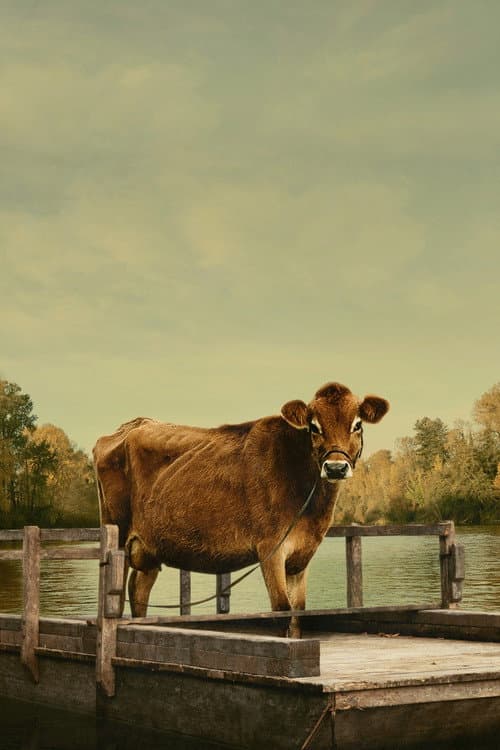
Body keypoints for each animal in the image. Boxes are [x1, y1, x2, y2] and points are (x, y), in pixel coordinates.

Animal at [93, 382, 389, 636]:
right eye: (314, 427)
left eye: (357, 424)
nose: (336, 467)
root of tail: (132, 425)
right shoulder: (271, 548)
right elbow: (282, 610)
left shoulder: (301, 556)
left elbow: (298, 614)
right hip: (117, 532)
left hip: (150, 546)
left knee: (139, 589)